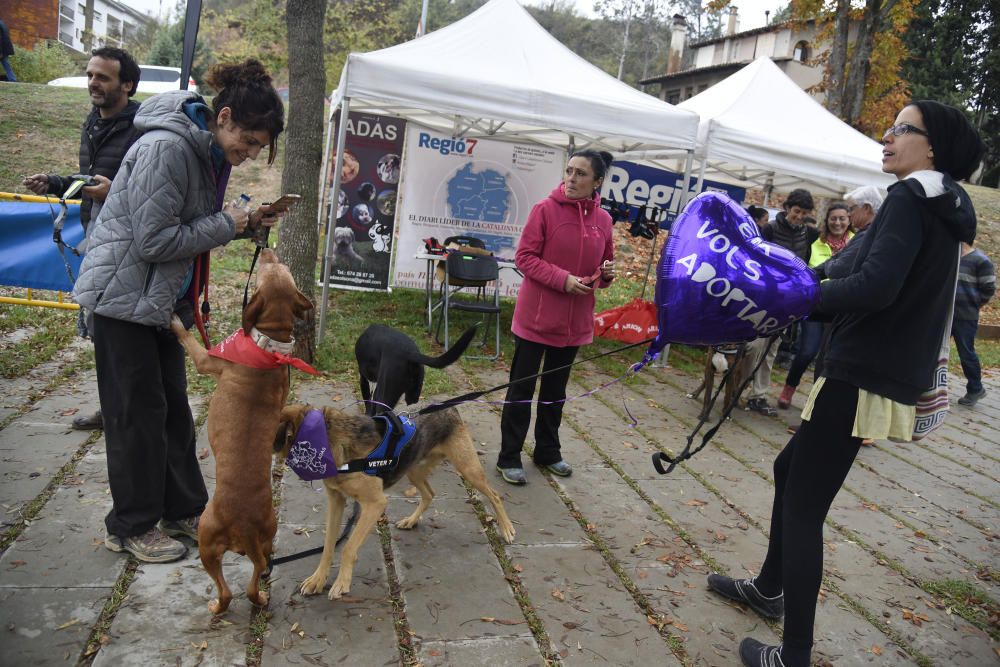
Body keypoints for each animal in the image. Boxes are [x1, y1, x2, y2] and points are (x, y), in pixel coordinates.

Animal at [170, 249, 314, 616]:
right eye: (279, 267)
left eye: (267, 268)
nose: (267, 249)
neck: (269, 344)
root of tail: (244, 524)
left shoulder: (207, 361)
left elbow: (190, 341)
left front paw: (174, 322)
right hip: (264, 540)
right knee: (254, 578)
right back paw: (261, 595)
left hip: (207, 543)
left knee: (226, 593)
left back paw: (216, 606)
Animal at [274, 404, 516, 604]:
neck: (328, 439)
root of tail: (450, 408)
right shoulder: (336, 499)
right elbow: (328, 546)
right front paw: (318, 579)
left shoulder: (375, 504)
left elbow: (349, 548)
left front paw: (342, 582)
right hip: (413, 470)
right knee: (429, 494)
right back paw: (411, 520)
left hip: (467, 469)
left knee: (495, 495)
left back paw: (506, 528)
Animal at [712, 100, 984, 667]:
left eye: (903, 127)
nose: (888, 139)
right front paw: (760, 593)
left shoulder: (900, 211)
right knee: (787, 481)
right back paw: (761, 595)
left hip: (834, 415)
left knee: (802, 511)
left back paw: (782, 652)